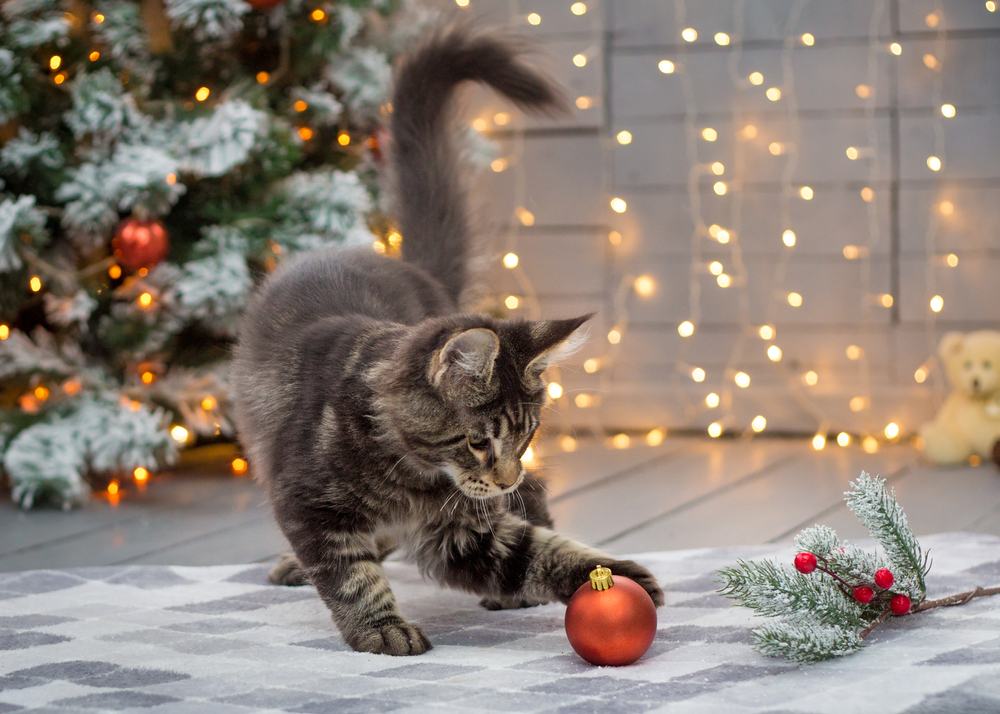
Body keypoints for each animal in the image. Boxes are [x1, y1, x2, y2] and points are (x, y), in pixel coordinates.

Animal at [233, 26, 664, 656]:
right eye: (478, 442)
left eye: (526, 434)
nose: (504, 475)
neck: (411, 476)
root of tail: (404, 265)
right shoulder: (309, 506)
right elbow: (351, 575)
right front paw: (381, 628)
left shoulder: (462, 529)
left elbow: (535, 549)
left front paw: (611, 576)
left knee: (537, 494)